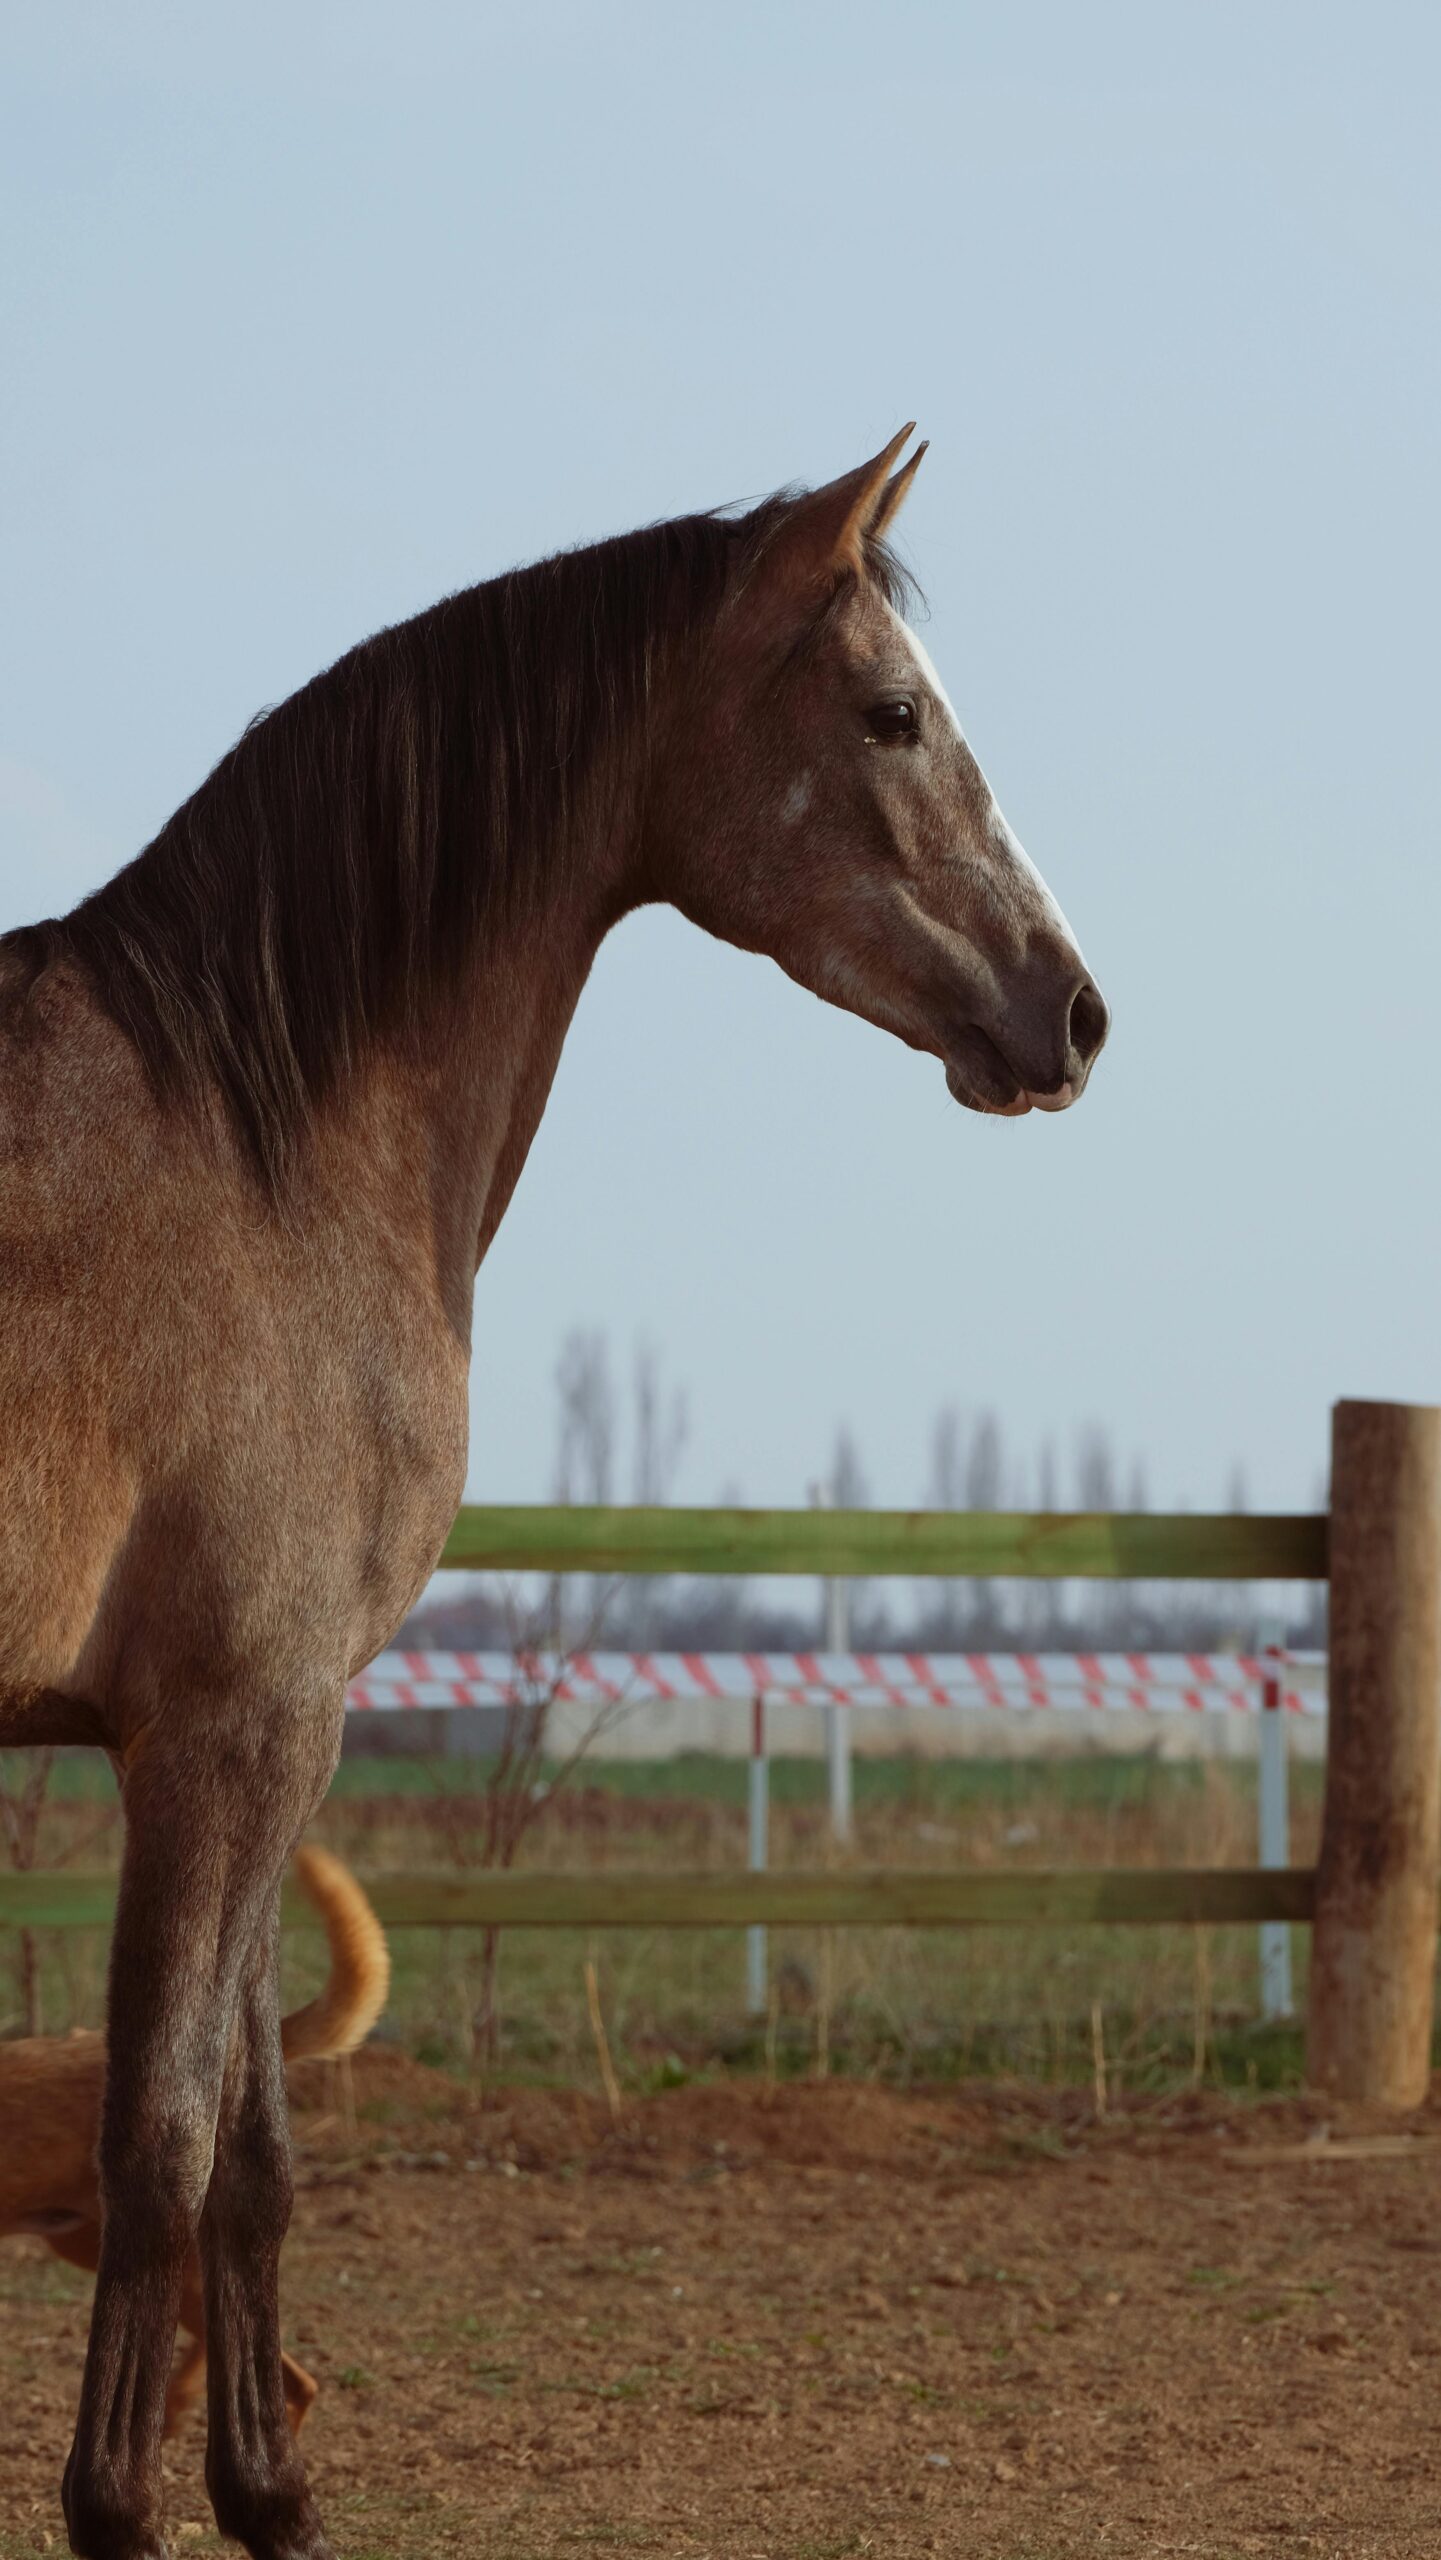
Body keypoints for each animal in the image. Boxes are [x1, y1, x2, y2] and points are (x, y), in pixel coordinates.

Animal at [0, 427, 1107, 2560]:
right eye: (893, 712)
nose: (1074, 1011)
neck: (254, 1137)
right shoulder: (231, 1733)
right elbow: (160, 2135)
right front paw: (122, 2509)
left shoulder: (270, 1740)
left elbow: (257, 2145)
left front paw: (270, 2491)